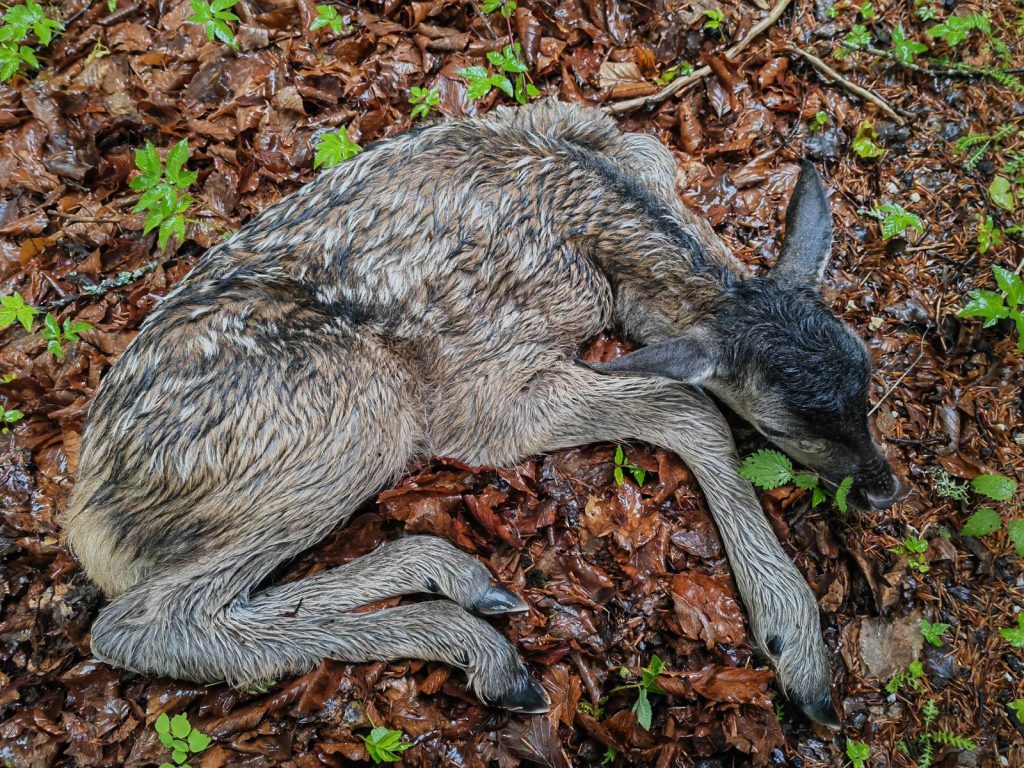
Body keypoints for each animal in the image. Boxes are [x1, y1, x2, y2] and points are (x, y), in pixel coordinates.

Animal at [62, 99, 902, 728]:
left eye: (868, 380)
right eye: (782, 428)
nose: (884, 486)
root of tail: (90, 521)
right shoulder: (484, 389)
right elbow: (688, 406)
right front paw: (793, 640)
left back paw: (460, 582)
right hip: (349, 410)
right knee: (142, 623)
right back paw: (480, 648)